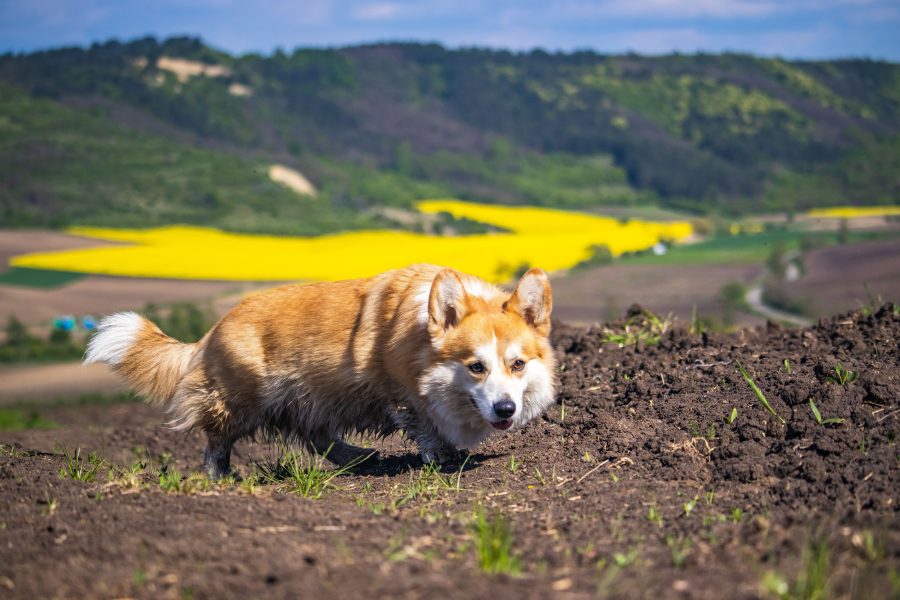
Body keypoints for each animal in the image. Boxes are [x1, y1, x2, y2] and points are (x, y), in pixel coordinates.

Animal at [88, 264, 560, 476]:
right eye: (475, 367)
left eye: (518, 364)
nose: (505, 410)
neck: (420, 341)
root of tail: (213, 330)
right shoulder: (399, 395)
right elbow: (424, 426)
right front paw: (441, 458)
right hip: (245, 399)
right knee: (217, 441)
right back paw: (221, 477)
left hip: (311, 395)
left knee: (314, 435)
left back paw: (357, 457)